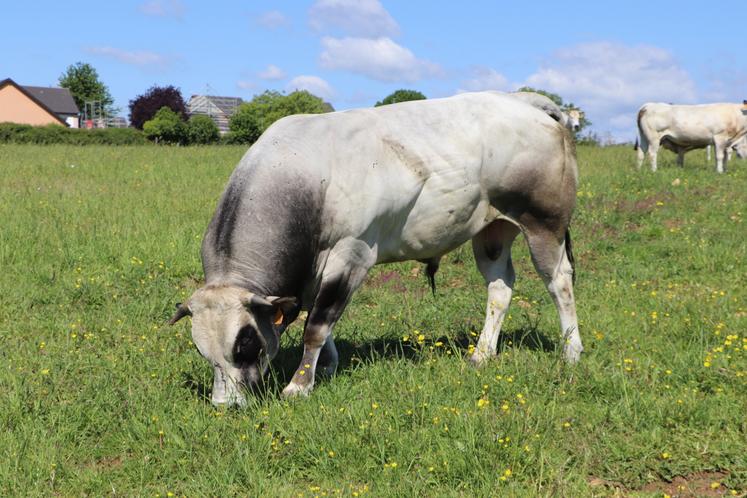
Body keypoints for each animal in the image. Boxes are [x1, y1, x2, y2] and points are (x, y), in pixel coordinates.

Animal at [169, 92, 582, 406]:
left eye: (246, 343)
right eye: (201, 351)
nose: (226, 405)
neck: (303, 177)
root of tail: (523, 100)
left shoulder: (351, 255)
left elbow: (316, 325)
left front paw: (299, 385)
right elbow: (321, 321)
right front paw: (326, 367)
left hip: (543, 224)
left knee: (559, 283)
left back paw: (571, 351)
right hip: (492, 231)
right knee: (500, 288)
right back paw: (482, 354)